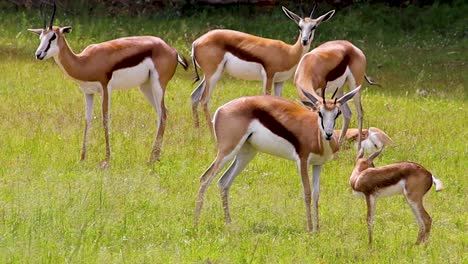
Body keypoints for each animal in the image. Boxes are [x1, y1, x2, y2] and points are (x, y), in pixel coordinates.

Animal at [27, 3, 186, 167]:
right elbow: (87, 120)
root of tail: (172, 50)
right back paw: (154, 158)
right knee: (162, 113)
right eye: (40, 37)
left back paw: (151, 159)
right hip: (145, 87)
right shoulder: (88, 92)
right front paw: (82, 158)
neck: (85, 62)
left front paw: (107, 160)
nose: (38, 54)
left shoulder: (105, 88)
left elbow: (105, 119)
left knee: (163, 114)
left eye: (53, 36)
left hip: (158, 85)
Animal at [191, 4, 336, 132]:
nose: (304, 41)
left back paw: (197, 131)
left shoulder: (280, 81)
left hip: (211, 75)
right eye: (299, 26)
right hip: (213, 75)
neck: (289, 52)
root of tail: (196, 42)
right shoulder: (269, 76)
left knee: (194, 96)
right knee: (204, 100)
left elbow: (280, 101)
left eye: (314, 26)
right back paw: (211, 133)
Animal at [194, 86, 362, 231]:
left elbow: (316, 195)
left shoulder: (317, 165)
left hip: (246, 154)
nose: (328, 134)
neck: (315, 135)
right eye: (319, 112)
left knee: (223, 182)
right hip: (227, 151)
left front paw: (317, 229)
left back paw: (229, 224)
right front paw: (309, 229)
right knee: (205, 177)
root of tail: (221, 109)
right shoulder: (302, 161)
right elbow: (307, 193)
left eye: (337, 113)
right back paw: (196, 222)